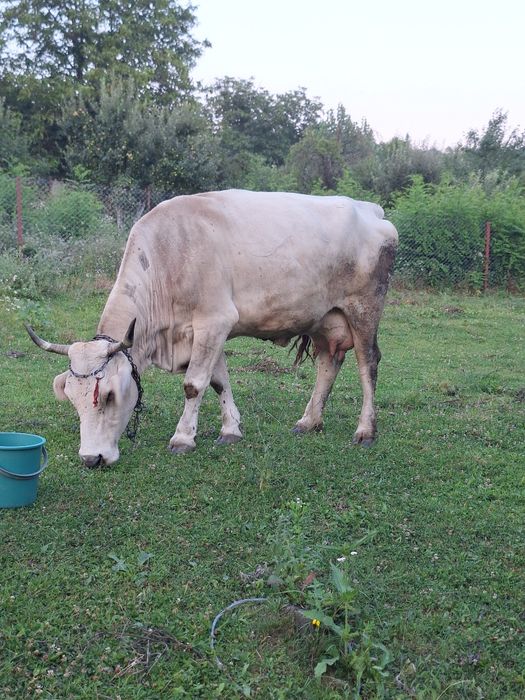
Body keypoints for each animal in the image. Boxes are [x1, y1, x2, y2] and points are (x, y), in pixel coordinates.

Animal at [26, 189, 397, 467]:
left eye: (108, 395)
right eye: (72, 399)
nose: (92, 459)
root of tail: (370, 209)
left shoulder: (215, 320)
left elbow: (194, 384)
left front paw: (182, 438)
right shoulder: (206, 331)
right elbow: (219, 380)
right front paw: (231, 430)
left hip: (364, 308)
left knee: (368, 364)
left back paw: (366, 430)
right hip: (324, 317)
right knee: (328, 363)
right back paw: (309, 421)